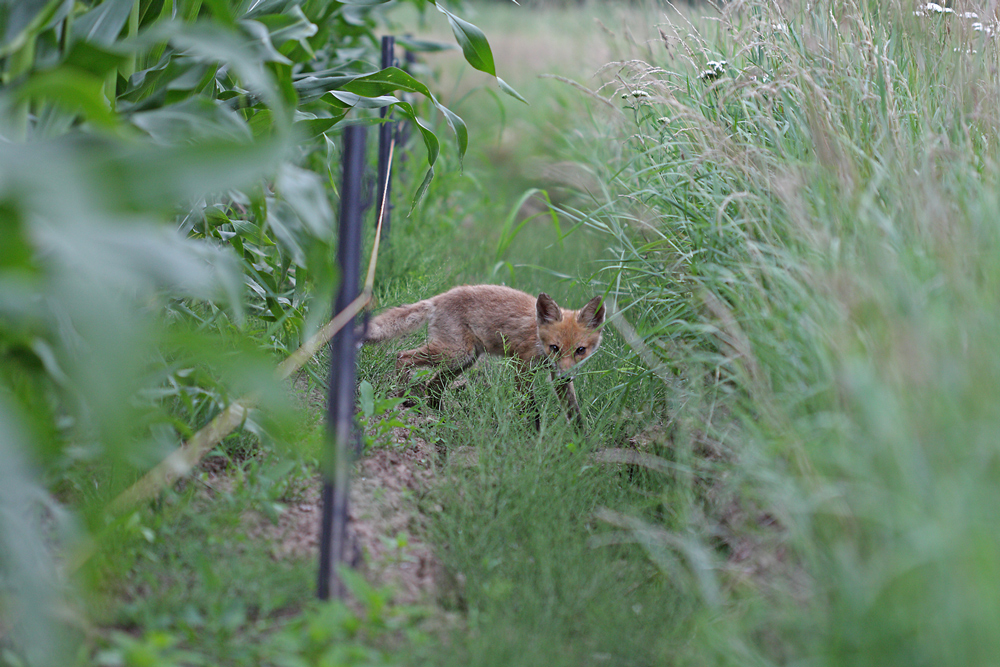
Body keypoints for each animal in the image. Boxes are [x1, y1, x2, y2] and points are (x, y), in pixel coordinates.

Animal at [362, 284, 604, 430]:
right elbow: (531, 409)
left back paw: (442, 416)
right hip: (454, 353)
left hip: (464, 359)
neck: (537, 336)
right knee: (402, 356)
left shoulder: (556, 377)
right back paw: (404, 397)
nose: (567, 376)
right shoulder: (522, 368)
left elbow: (575, 413)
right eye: (555, 347)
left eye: (580, 350)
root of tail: (439, 298)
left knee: (433, 386)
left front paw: (582, 444)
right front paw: (534, 437)